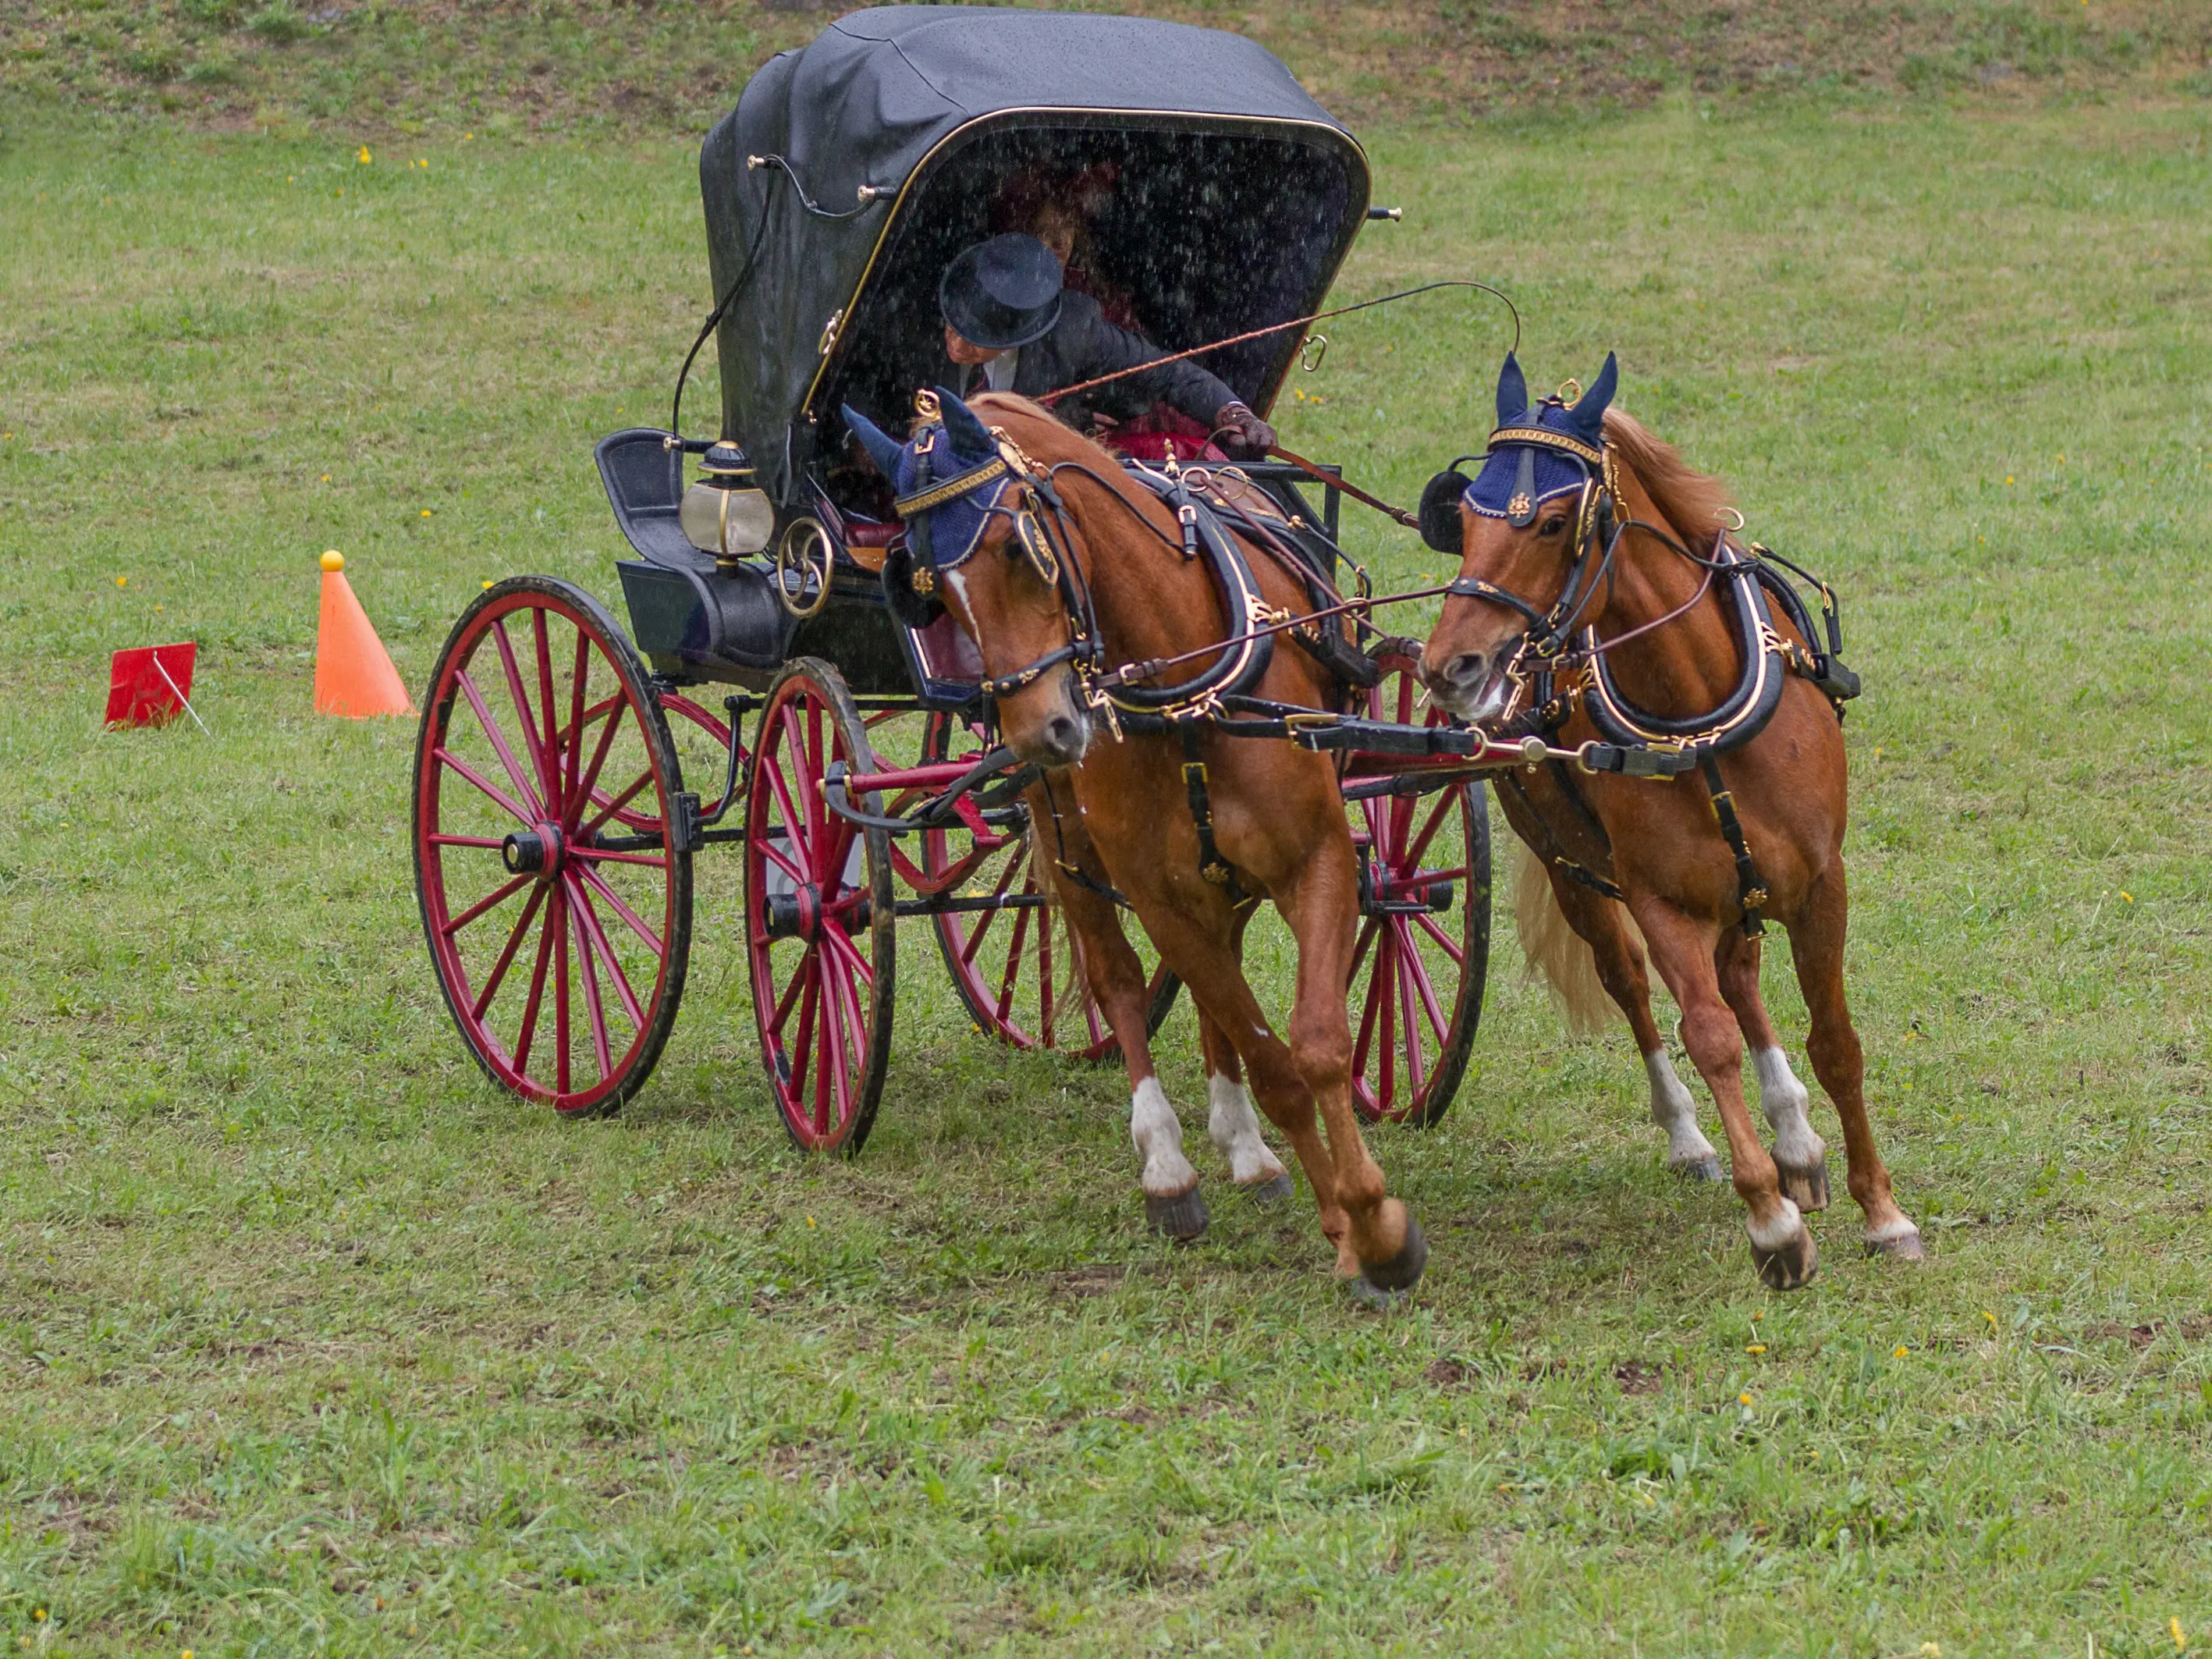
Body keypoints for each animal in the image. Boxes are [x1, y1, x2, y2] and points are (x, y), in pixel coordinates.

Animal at [843, 387, 1428, 1302]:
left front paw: (1370, 1218)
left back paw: (1244, 1149)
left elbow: (1320, 1045)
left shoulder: (1316, 859)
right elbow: (1276, 1066)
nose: (1043, 730)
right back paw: (1169, 1166)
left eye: (1018, 548)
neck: (1185, 689)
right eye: (930, 587)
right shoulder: (1156, 894)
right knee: (1114, 978)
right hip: (1066, 840)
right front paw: (1355, 1230)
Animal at [1415, 350, 1922, 1290]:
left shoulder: (1820, 884)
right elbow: (1705, 1034)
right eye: (1462, 518)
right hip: (1577, 871)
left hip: (1744, 882)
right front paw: (1771, 1223)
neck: (1697, 710)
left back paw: (1798, 1137)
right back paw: (1699, 1138)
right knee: (1635, 985)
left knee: (1745, 980)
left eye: (1551, 523)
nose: (1448, 667)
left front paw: (1882, 1211)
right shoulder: (1660, 901)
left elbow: (1834, 1038)